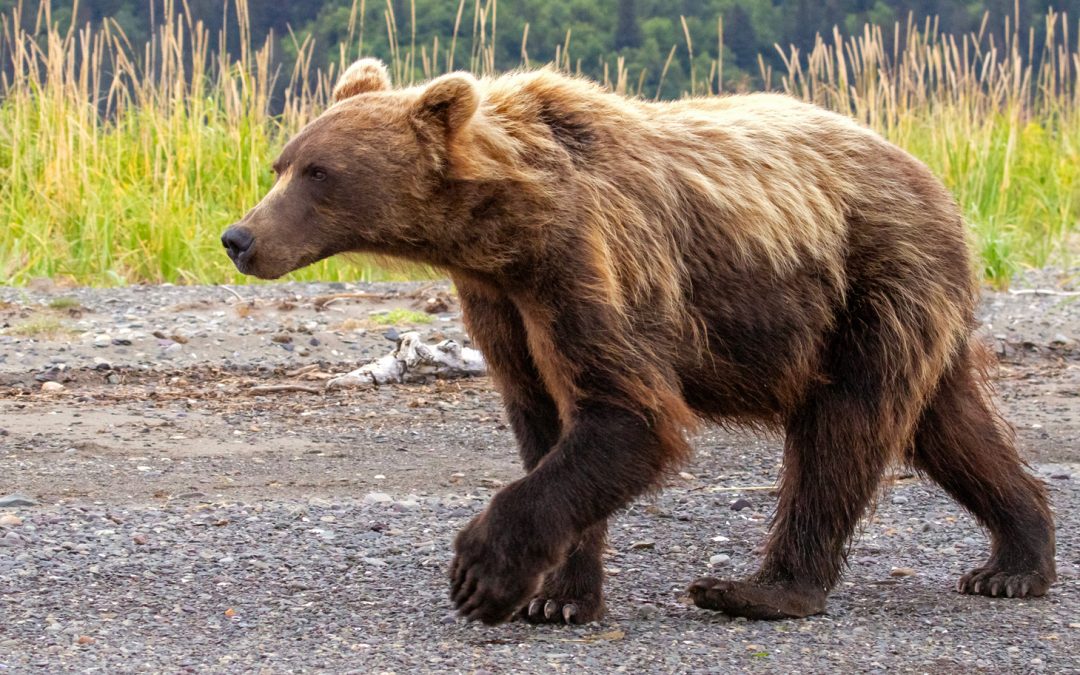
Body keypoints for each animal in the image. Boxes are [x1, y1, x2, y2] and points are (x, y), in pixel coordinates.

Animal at [222, 58, 1057, 625]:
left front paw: (482, 572)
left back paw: (760, 587)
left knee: (842, 431)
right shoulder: (502, 305)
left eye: (318, 172)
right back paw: (1016, 560)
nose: (240, 236)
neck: (507, 231)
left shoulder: (590, 263)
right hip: (900, 307)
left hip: (872, 279)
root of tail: (936, 182)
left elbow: (629, 412)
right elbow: (547, 422)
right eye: (282, 162)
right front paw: (558, 596)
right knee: (950, 426)